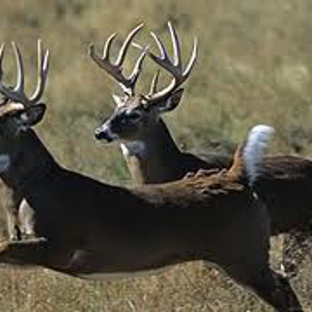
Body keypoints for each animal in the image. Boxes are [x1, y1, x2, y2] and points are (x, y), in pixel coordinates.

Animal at [0, 40, 302, 310]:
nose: (100, 132)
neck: (36, 188)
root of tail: (236, 175)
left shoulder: (61, 245)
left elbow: (3, 247)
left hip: (243, 252)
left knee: (284, 289)